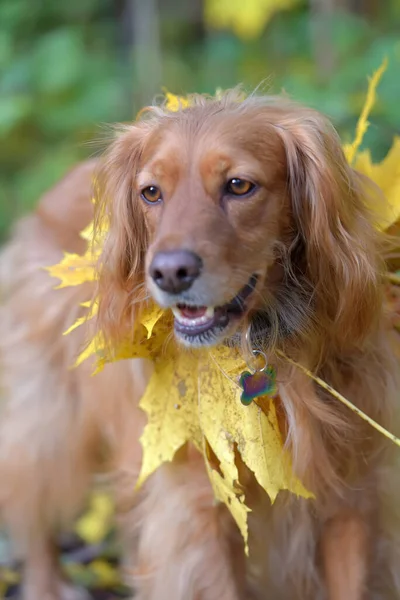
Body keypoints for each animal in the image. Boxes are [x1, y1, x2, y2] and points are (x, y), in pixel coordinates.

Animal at [0, 90, 400, 600]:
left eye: (239, 186)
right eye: (151, 192)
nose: (169, 273)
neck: (255, 349)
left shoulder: (351, 501)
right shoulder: (198, 511)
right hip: (49, 420)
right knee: (32, 511)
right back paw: (46, 583)